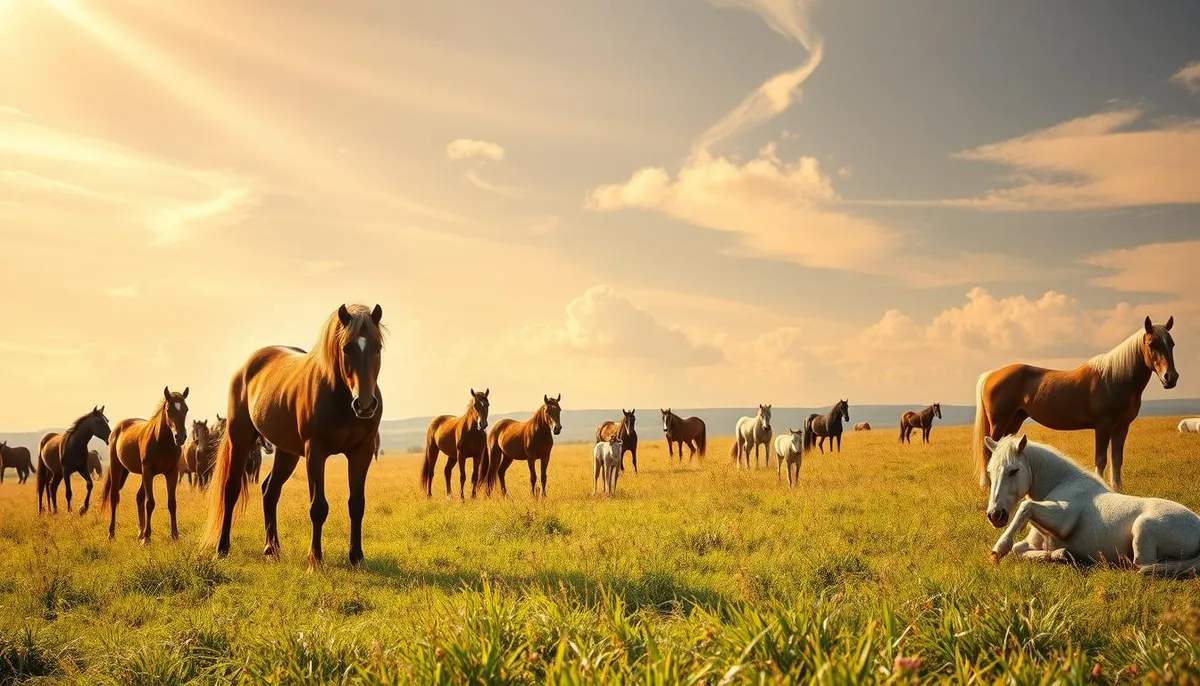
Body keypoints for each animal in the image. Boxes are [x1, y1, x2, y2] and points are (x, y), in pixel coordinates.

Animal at [100, 387, 190, 543]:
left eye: (185, 409)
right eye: (169, 410)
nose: (180, 437)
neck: (161, 442)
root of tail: (119, 427)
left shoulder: (171, 473)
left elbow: (172, 503)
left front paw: (175, 535)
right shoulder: (148, 472)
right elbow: (150, 503)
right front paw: (147, 538)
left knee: (139, 497)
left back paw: (139, 532)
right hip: (118, 468)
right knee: (114, 497)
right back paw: (111, 534)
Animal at [204, 304, 385, 568]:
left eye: (377, 347)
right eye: (347, 348)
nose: (364, 405)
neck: (340, 398)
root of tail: (246, 366)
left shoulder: (361, 453)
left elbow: (357, 504)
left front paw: (357, 557)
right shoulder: (315, 452)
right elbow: (318, 507)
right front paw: (315, 560)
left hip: (286, 452)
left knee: (270, 491)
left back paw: (271, 549)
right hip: (240, 439)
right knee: (232, 490)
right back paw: (222, 548)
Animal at [972, 316, 1179, 492]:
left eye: (1172, 344)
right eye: (1151, 344)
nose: (1171, 377)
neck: (1115, 379)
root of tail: (991, 374)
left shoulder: (1121, 427)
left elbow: (1117, 459)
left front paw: (1118, 490)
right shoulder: (1103, 426)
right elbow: (1101, 459)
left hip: (1014, 420)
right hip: (999, 422)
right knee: (987, 450)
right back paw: (989, 485)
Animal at [984, 433, 1200, 578]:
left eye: (1013, 471)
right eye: (990, 471)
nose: (995, 515)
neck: (1063, 482)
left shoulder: (1063, 522)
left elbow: (1026, 506)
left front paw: (998, 550)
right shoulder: (1034, 542)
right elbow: (1020, 551)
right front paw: (1061, 554)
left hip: (1143, 529)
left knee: (1143, 566)